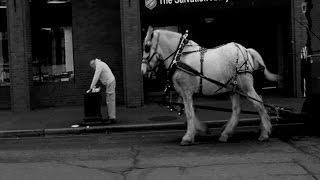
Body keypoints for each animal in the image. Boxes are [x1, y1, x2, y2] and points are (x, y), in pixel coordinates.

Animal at [141, 26, 278, 146]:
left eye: (147, 47)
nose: (143, 71)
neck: (180, 56)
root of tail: (245, 50)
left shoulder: (186, 91)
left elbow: (189, 113)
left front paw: (188, 137)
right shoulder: (184, 92)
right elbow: (189, 111)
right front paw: (201, 129)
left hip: (245, 86)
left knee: (258, 103)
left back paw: (265, 132)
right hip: (233, 88)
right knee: (237, 109)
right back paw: (226, 133)